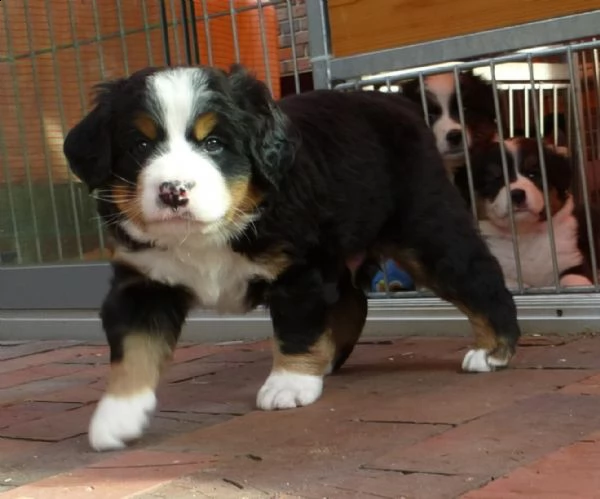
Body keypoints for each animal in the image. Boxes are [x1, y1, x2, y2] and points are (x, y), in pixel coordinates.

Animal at [62, 63, 520, 454]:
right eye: (140, 144)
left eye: (214, 143)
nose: (173, 190)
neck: (205, 236)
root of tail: (398, 104)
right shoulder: (147, 282)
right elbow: (134, 349)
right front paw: (117, 415)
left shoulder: (298, 266)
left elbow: (295, 326)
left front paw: (290, 382)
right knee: (352, 301)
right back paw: (329, 357)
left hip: (423, 227)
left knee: (478, 276)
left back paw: (493, 350)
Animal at [458, 137, 596, 290]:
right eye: (495, 179)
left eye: (533, 174)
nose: (517, 194)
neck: (524, 235)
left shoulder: (572, 258)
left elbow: (575, 280)